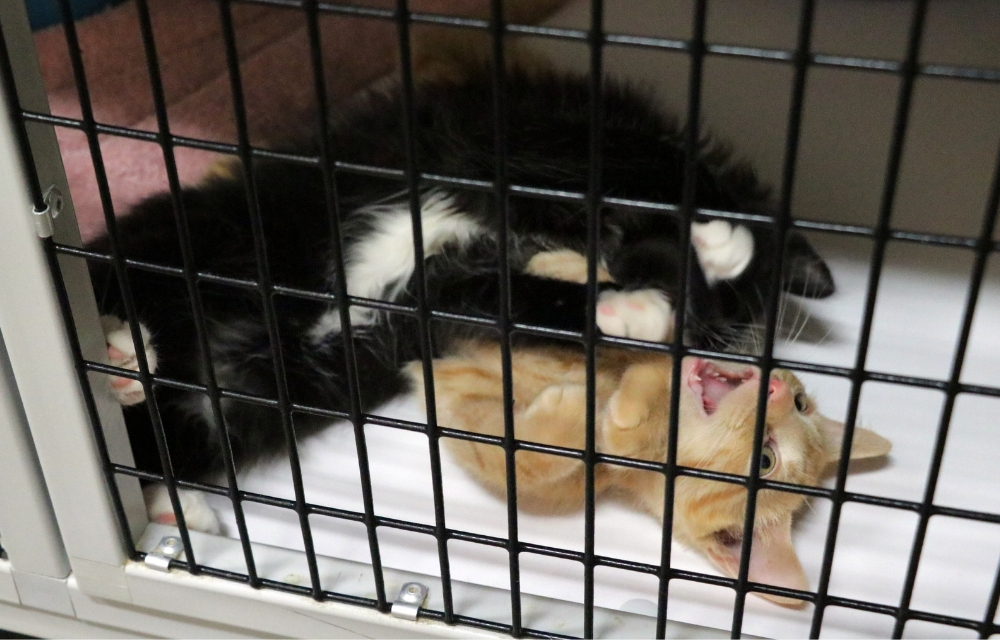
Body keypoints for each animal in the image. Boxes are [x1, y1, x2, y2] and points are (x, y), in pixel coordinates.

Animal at [86, 69, 836, 528]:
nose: (715, 353)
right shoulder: (532, 128)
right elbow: (648, 167)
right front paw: (713, 249)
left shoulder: (438, 292)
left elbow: (512, 296)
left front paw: (629, 306)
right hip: (187, 237)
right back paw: (121, 349)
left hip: (231, 407)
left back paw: (158, 476)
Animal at [406, 249, 892, 604]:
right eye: (801, 403)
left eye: (766, 460)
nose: (774, 389)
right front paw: (579, 275)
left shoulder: (461, 399)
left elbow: (521, 458)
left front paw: (607, 411)